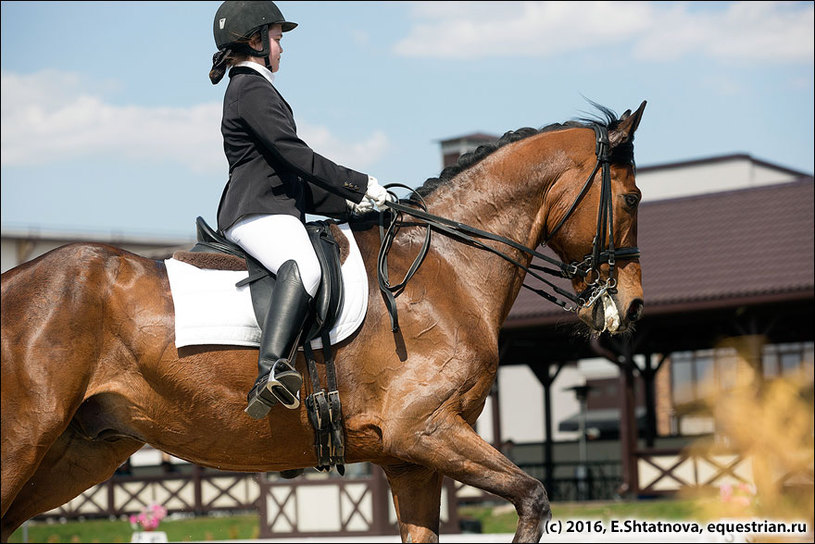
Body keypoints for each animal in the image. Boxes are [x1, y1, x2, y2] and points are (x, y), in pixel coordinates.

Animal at [3, 103, 648, 544]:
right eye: (634, 198)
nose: (634, 307)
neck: (446, 268)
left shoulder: (411, 461)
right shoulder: (425, 430)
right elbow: (535, 497)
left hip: (79, 451)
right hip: (24, 443)